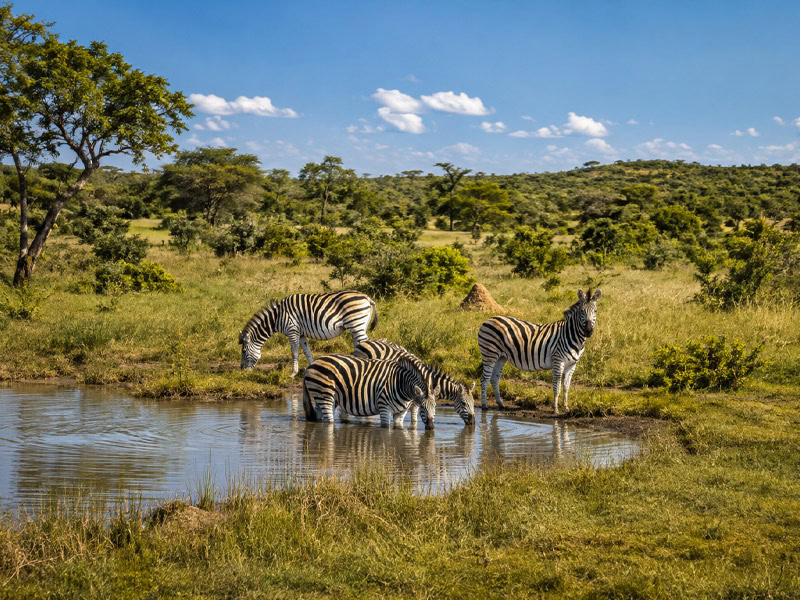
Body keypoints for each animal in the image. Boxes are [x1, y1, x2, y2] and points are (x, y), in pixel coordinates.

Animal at [238, 291, 378, 376]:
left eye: (244, 351)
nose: (242, 370)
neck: (277, 317)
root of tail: (367, 298)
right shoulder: (300, 334)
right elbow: (307, 351)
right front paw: (312, 368)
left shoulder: (292, 330)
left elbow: (294, 352)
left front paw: (293, 373)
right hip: (358, 325)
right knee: (358, 343)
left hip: (356, 323)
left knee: (365, 342)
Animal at [302, 354, 437, 429]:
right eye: (422, 408)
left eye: (435, 407)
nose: (431, 428)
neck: (401, 383)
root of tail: (313, 363)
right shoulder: (384, 407)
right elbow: (386, 429)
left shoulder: (401, 412)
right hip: (325, 394)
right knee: (329, 422)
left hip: (323, 396)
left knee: (320, 417)